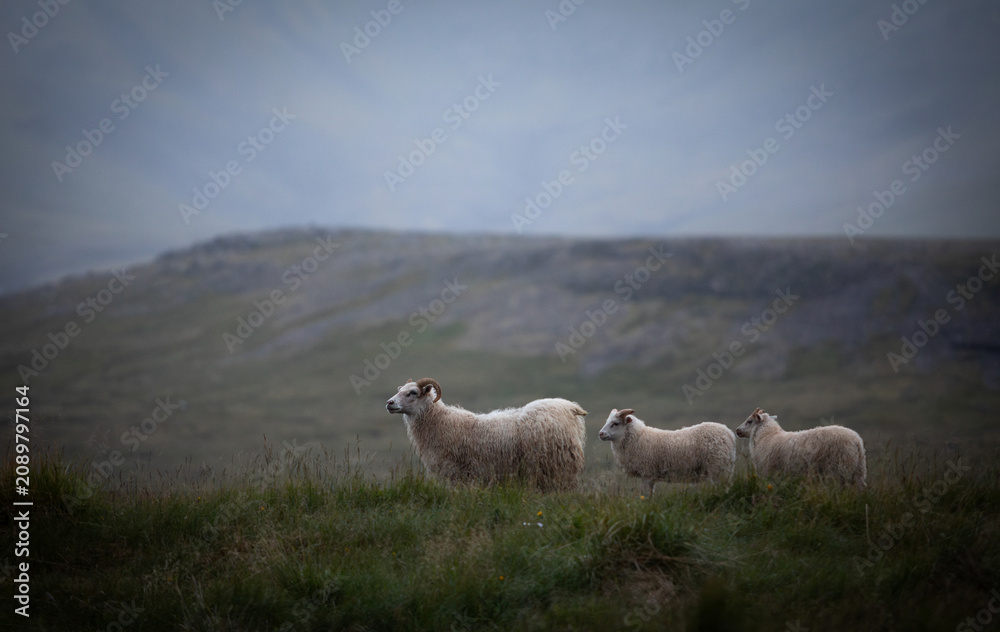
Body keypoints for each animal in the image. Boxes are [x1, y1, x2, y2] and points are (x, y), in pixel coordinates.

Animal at [385, 378, 588, 491]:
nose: (389, 403)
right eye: (399, 390)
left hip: (555, 465)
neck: (439, 422)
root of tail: (569, 407)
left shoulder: (454, 471)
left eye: (413, 392)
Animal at [597, 408, 736, 495]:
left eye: (615, 423)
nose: (600, 434)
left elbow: (646, 496)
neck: (638, 438)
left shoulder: (647, 474)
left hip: (718, 467)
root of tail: (729, 433)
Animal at [734, 408, 867, 488]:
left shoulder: (769, 472)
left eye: (749, 421)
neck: (768, 436)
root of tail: (857, 441)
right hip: (857, 470)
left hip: (841, 469)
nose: (737, 430)